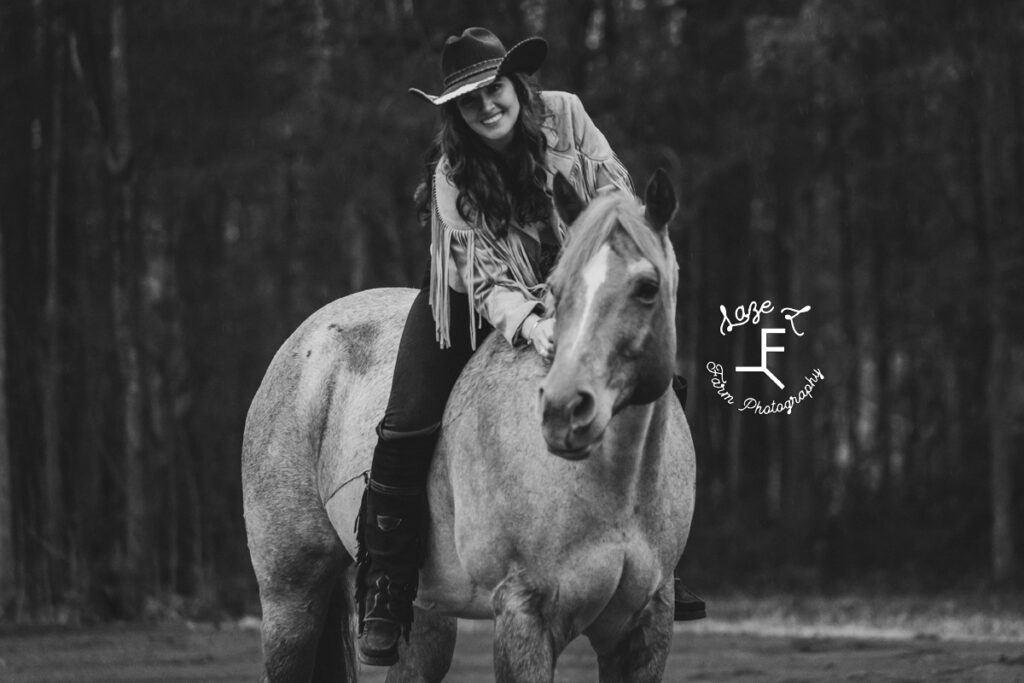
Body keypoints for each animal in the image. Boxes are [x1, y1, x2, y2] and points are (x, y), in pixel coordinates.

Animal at [243, 166, 700, 683]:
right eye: (558, 290)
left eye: (647, 288)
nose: (565, 410)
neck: (611, 489)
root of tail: (306, 339)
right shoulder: (524, 614)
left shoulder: (645, 627)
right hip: (292, 597)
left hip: (426, 615)